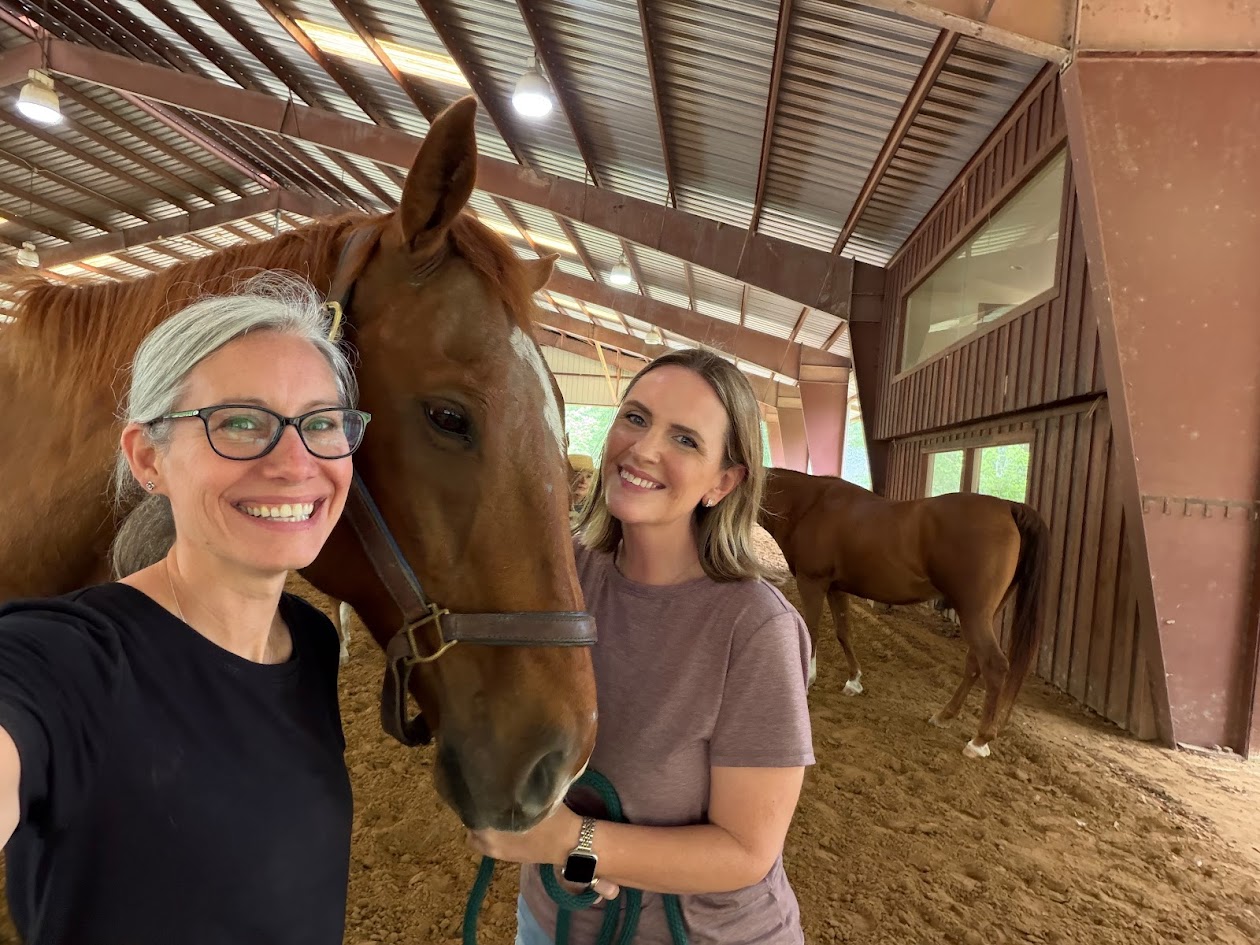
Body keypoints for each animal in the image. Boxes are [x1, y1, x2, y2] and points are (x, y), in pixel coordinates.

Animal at [759, 467, 1049, 758]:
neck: (810, 504)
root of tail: (1007, 507)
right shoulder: (835, 588)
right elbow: (844, 632)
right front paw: (854, 681)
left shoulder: (812, 582)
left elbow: (812, 631)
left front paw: (807, 681)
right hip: (982, 615)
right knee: (974, 663)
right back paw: (944, 716)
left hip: (973, 613)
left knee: (994, 665)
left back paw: (979, 742)